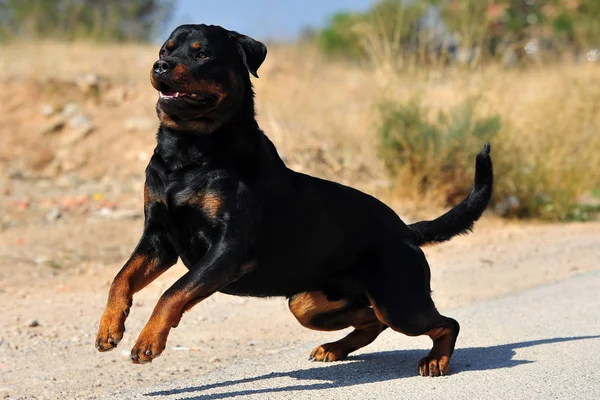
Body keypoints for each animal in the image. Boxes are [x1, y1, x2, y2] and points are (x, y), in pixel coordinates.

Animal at [97, 23, 492, 376]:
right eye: (166, 49)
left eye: (202, 54)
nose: (160, 65)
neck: (188, 150)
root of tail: (406, 231)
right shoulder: (158, 240)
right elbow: (120, 278)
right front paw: (109, 327)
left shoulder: (228, 250)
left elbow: (172, 292)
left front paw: (148, 340)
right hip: (309, 304)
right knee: (371, 320)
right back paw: (334, 348)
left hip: (398, 299)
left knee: (445, 323)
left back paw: (436, 360)